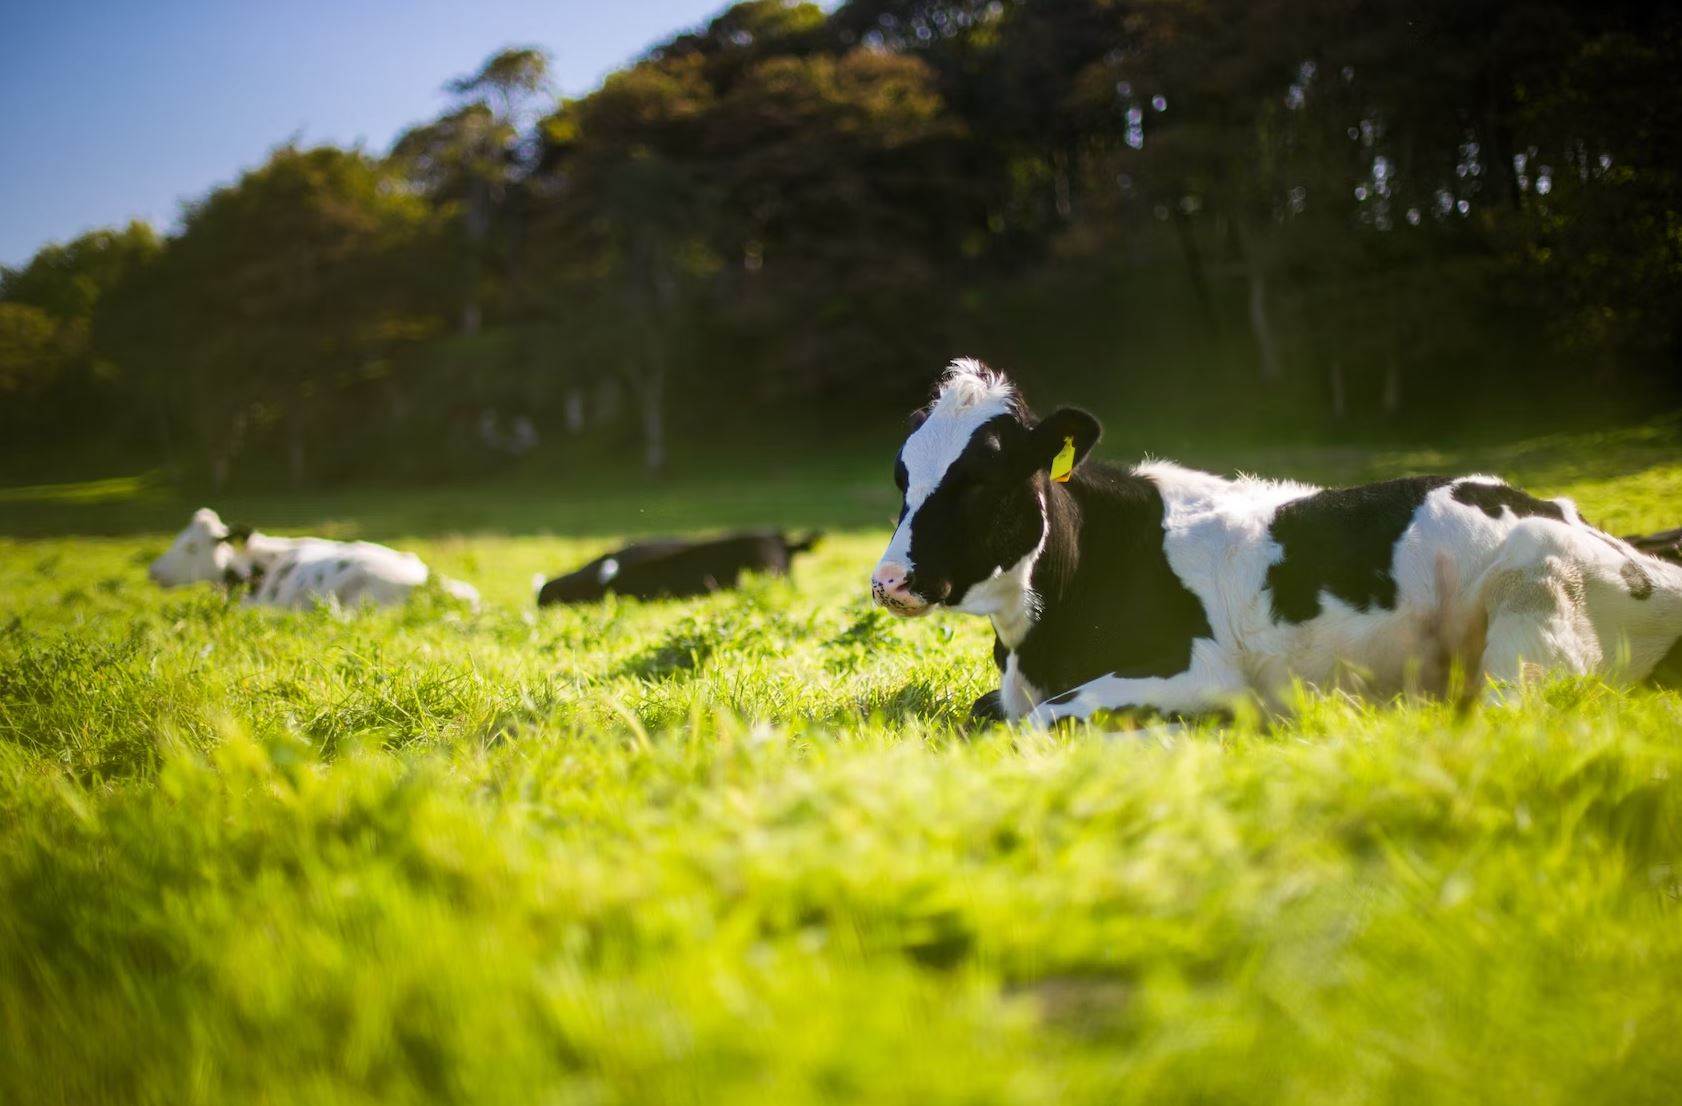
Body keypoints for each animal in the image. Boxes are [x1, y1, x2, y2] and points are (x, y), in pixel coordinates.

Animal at [870, 359, 1682, 728]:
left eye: (982, 479)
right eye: (901, 474)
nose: (888, 580)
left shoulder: (1198, 671)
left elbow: (1041, 721)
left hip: (1534, 611)